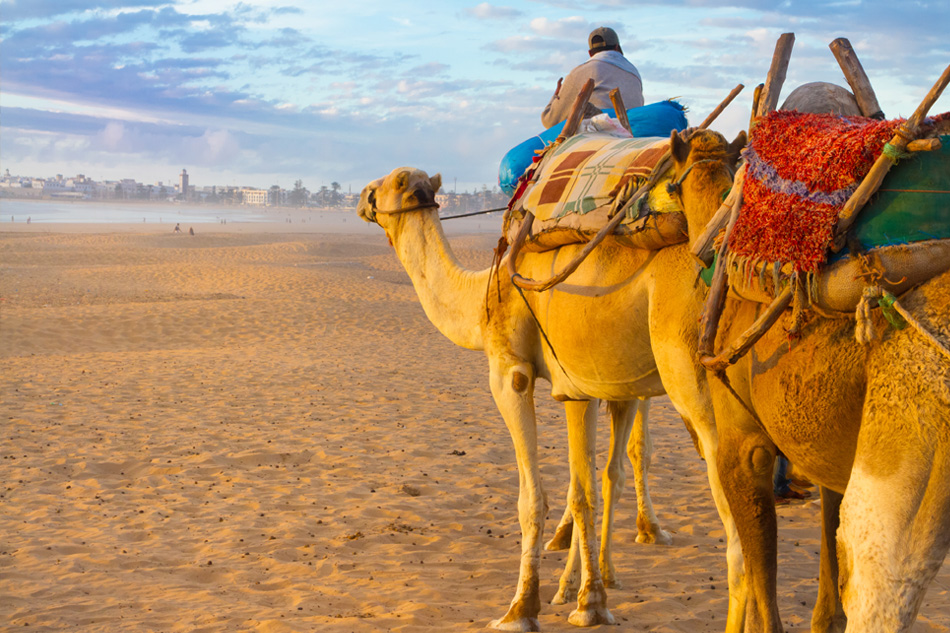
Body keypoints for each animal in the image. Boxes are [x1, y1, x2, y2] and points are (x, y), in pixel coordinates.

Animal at [354, 127, 748, 628]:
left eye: (386, 185)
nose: (361, 198)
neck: (483, 296)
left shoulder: (510, 372)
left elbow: (534, 498)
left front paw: (522, 608)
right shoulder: (588, 385)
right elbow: (591, 486)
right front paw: (588, 597)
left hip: (693, 373)